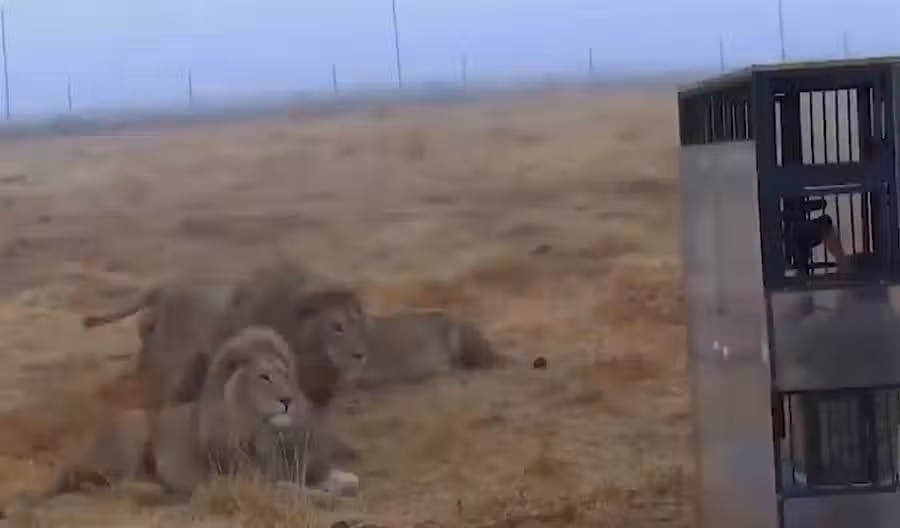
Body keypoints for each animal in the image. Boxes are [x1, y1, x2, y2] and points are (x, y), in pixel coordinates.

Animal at [2, 327, 358, 519]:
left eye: (284, 373)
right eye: (264, 377)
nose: (288, 400)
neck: (264, 433)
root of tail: (85, 447)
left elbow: (343, 480)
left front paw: (338, 484)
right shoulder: (249, 481)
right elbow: (295, 491)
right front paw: (327, 497)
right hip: (135, 430)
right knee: (113, 485)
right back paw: (158, 489)